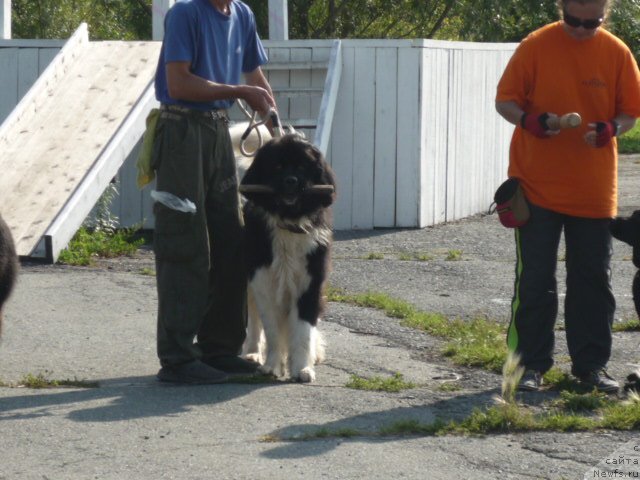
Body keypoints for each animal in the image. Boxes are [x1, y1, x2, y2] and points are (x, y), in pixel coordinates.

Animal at [240, 134, 338, 382]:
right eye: (277, 166)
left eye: (302, 166)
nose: (291, 181)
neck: (289, 222)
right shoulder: (263, 282)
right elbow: (272, 330)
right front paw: (272, 366)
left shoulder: (309, 284)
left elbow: (303, 332)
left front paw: (303, 368)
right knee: (254, 320)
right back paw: (252, 353)